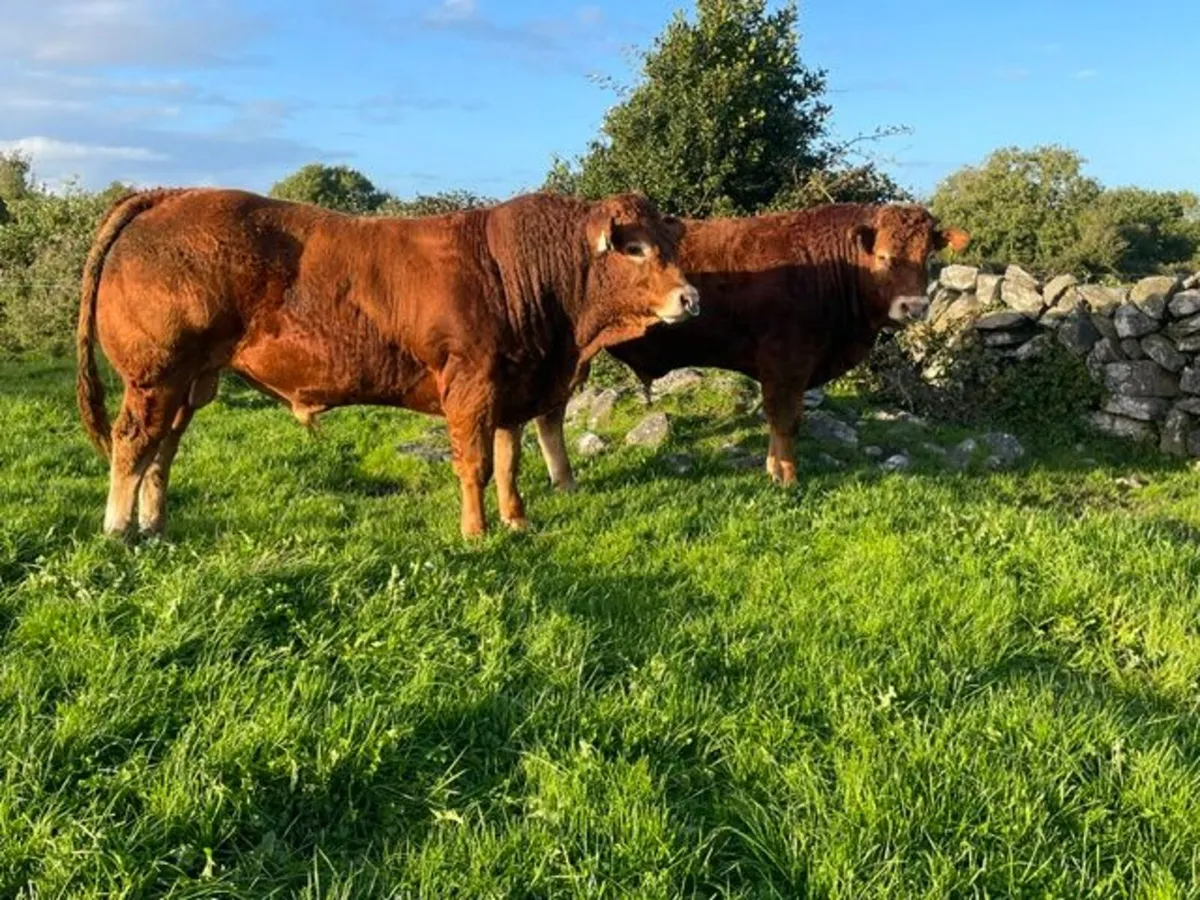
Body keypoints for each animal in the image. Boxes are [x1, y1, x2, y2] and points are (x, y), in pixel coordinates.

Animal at [76, 188, 700, 539]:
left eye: (668, 244)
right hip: (155, 375)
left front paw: (518, 520)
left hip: (191, 380)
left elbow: (509, 462)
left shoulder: (514, 388)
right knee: (133, 443)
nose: (690, 297)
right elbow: (474, 464)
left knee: (163, 449)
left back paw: (154, 524)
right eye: (634, 248)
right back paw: (119, 530)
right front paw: (476, 531)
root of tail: (170, 194)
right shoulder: (472, 383)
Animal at [530, 203, 968, 489]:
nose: (914, 306)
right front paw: (787, 476)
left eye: (928, 256)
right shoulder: (785, 361)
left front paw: (775, 469)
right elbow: (784, 419)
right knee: (548, 416)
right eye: (883, 256)